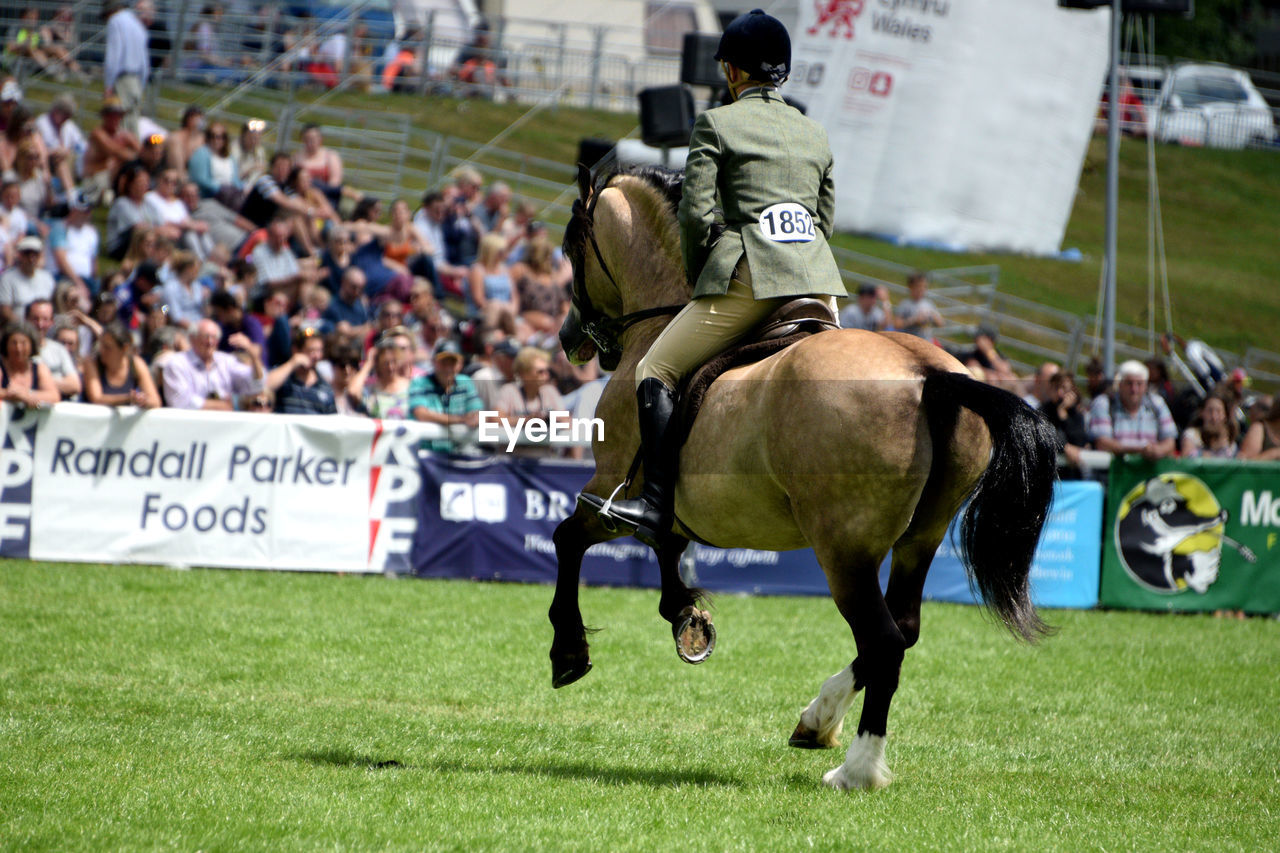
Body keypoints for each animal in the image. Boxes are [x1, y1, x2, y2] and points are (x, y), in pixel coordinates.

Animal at [545, 162, 1054, 788]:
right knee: (903, 630)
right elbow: (666, 542)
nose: (569, 340)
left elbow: (569, 539)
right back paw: (817, 719)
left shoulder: (610, 492)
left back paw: (857, 769)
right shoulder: (678, 504)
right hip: (920, 538)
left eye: (572, 247)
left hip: (843, 549)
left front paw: (570, 653)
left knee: (884, 641)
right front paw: (686, 616)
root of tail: (928, 374)